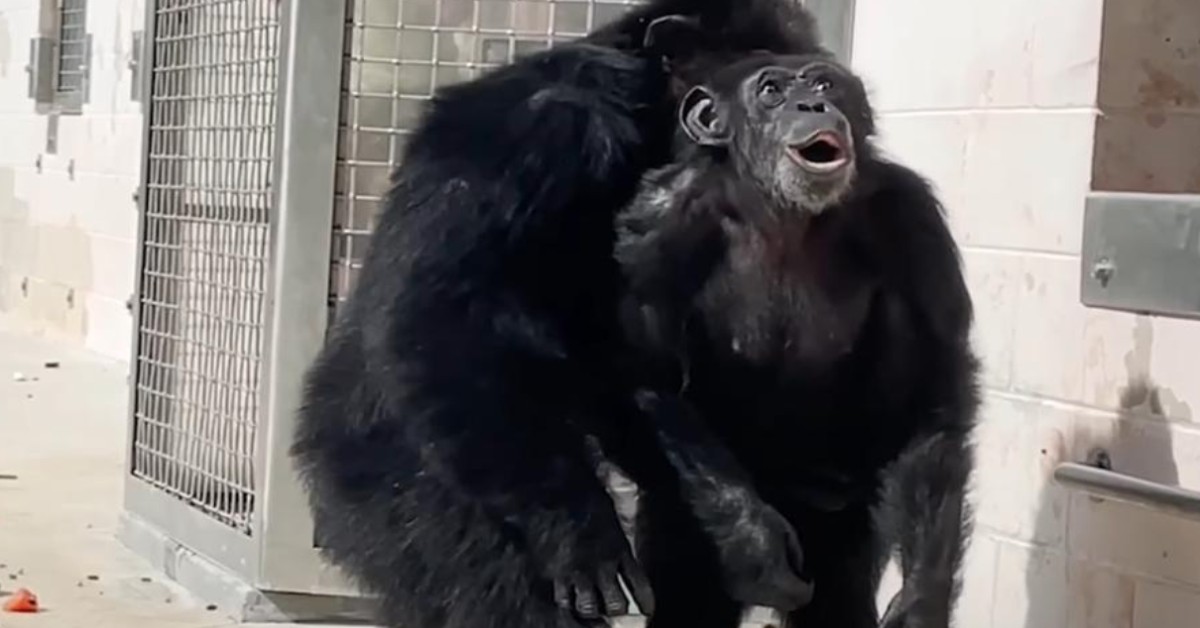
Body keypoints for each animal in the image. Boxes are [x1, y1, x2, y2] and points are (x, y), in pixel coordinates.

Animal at [292, 1, 835, 628]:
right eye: (768, 87)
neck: (645, 120)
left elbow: (629, 366)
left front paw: (750, 534)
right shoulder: (533, 131)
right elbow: (441, 310)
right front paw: (577, 530)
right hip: (395, 488)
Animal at [614, 54, 979, 628]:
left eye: (825, 83)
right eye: (772, 91)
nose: (812, 104)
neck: (780, 210)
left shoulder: (910, 216)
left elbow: (934, 389)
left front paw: (923, 598)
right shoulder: (654, 226)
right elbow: (654, 375)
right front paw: (753, 544)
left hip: (838, 507)